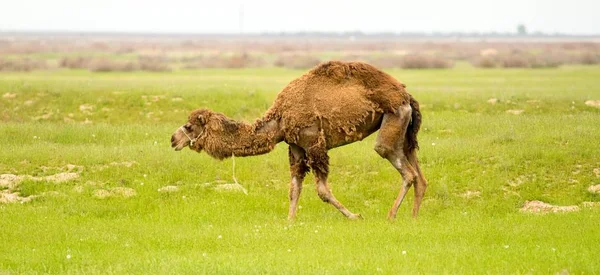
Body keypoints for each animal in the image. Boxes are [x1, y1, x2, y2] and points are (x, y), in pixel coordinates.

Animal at [170, 61, 426, 221]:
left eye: (189, 126)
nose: (173, 139)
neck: (279, 120)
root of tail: (406, 96)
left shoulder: (314, 143)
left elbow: (322, 190)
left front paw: (355, 216)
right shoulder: (295, 147)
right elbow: (294, 188)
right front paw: (290, 221)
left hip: (394, 119)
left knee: (404, 169)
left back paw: (391, 215)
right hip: (405, 130)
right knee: (418, 174)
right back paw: (414, 217)